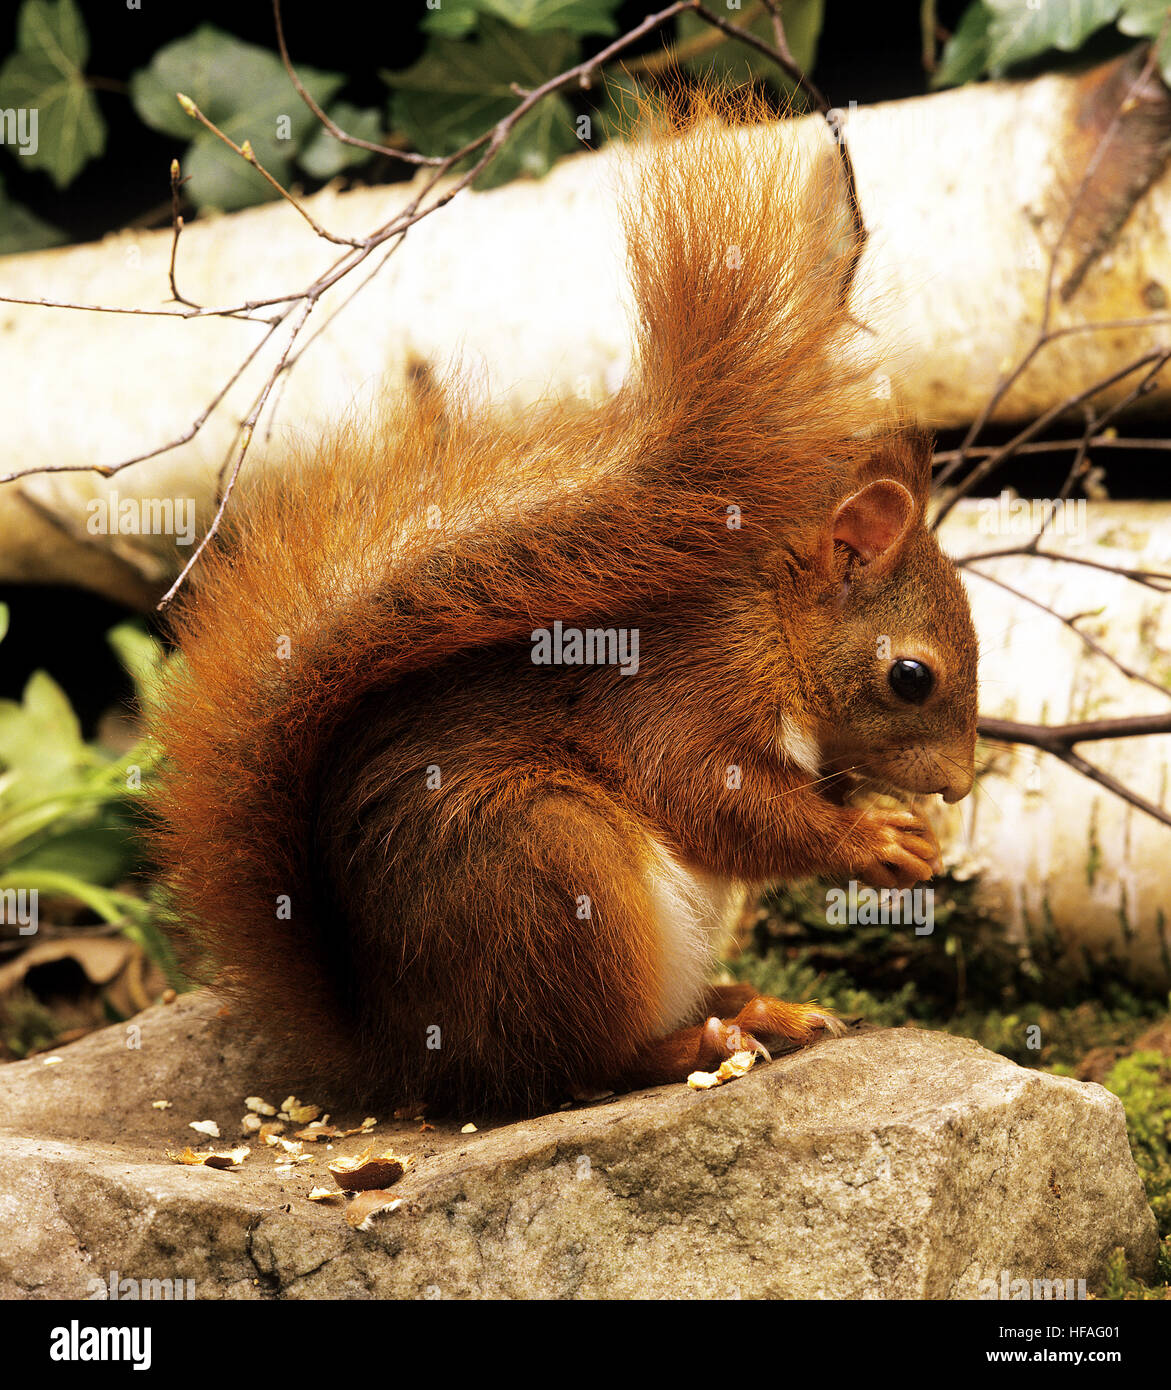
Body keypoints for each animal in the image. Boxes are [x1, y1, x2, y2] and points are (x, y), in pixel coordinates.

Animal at [152, 92, 979, 1117]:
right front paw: (875, 839)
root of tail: (408, 1055)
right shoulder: (689, 696)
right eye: (911, 676)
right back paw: (698, 1042)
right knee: (576, 1065)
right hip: (552, 873)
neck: (774, 631)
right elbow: (720, 802)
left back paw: (758, 1008)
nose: (959, 784)